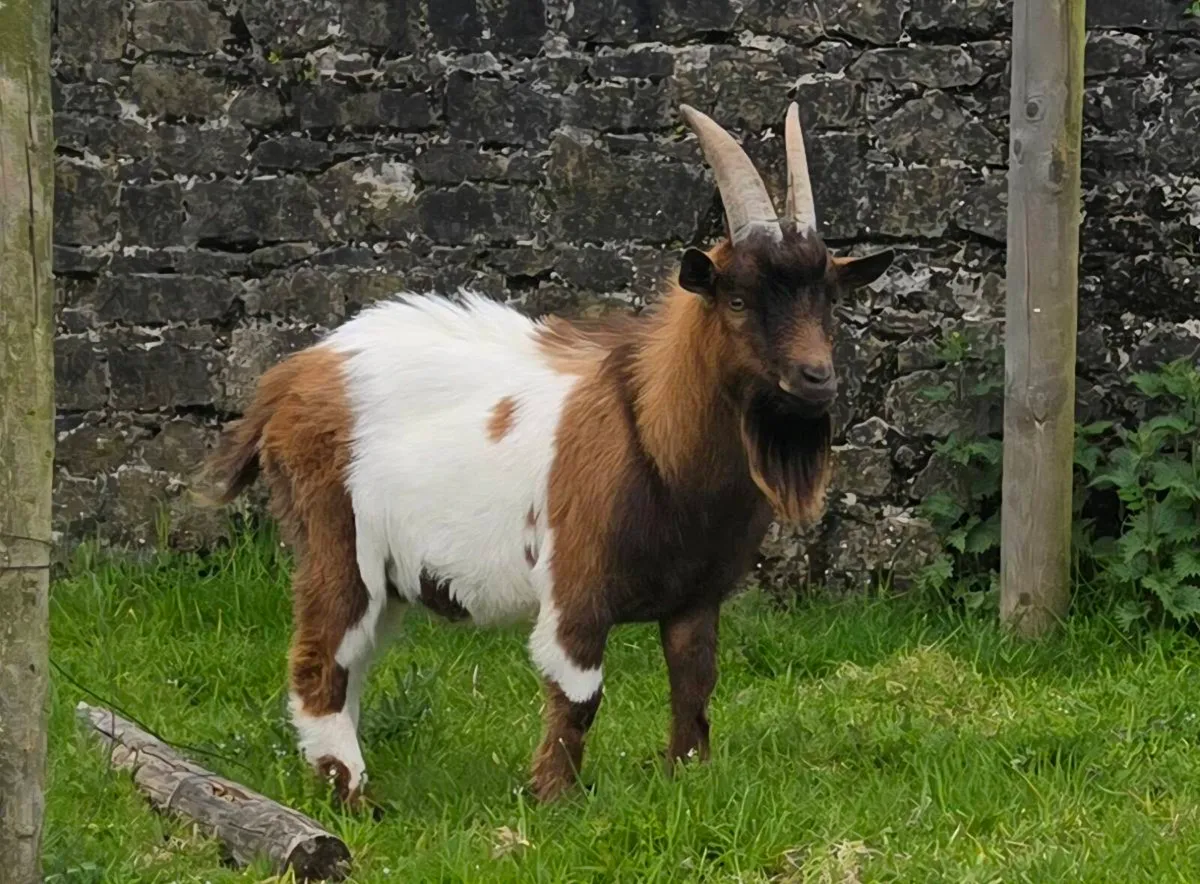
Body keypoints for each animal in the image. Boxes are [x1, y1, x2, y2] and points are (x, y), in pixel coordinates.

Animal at [203, 103, 894, 808]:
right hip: (337, 540)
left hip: (387, 576)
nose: (817, 379)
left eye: (830, 298)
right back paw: (352, 797)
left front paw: (688, 783)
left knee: (353, 661)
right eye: (737, 298)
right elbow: (579, 693)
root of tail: (290, 378)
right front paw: (553, 798)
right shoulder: (577, 583)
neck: (654, 436)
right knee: (321, 658)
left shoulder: (698, 596)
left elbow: (695, 685)